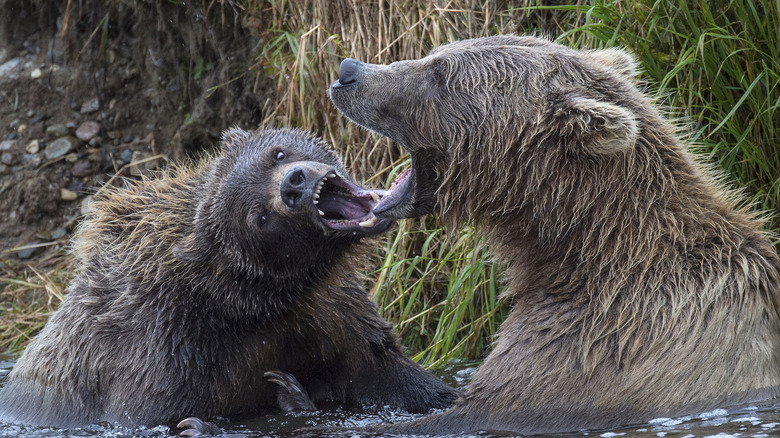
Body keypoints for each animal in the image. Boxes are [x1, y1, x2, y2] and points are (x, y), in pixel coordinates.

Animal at [0, 128, 458, 430]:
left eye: (277, 153)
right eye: (259, 217)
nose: (294, 184)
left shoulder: (333, 316)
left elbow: (403, 379)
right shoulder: (167, 349)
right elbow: (158, 411)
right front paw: (206, 424)